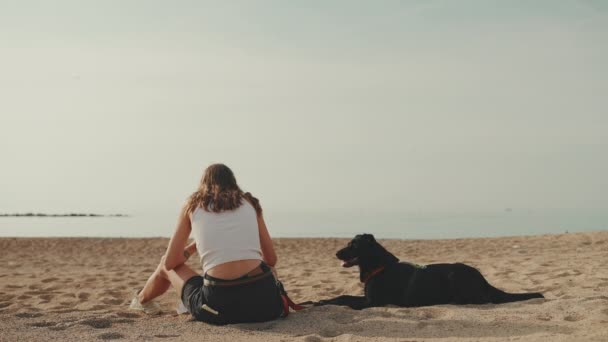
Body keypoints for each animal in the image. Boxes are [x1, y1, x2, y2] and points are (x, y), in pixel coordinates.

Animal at [306, 235, 544, 310]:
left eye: (353, 245)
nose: (336, 253)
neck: (380, 266)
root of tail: (484, 280)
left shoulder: (371, 303)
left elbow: (344, 301)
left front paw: (321, 302)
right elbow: (341, 296)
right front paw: (318, 301)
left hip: (456, 274)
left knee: (482, 300)